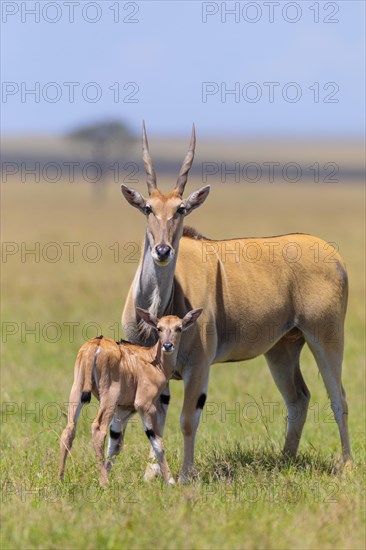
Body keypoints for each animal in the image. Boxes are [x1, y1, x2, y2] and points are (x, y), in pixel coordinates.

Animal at [58, 310, 202, 488]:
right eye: (159, 328)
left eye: (179, 328)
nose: (168, 345)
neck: (153, 360)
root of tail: (97, 344)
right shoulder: (144, 405)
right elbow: (157, 442)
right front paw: (170, 481)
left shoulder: (123, 411)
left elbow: (115, 445)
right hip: (108, 400)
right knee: (98, 429)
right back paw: (105, 484)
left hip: (77, 393)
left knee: (69, 430)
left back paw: (61, 479)